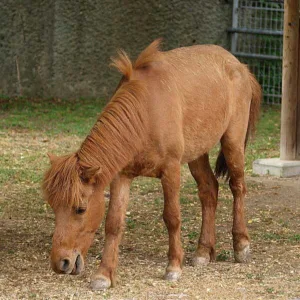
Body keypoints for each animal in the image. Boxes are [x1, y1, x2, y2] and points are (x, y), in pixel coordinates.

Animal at [42, 39, 260, 290]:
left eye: (80, 209)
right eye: (53, 207)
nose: (61, 263)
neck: (145, 112)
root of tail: (239, 65)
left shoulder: (171, 170)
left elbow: (172, 217)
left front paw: (173, 267)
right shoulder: (122, 176)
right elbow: (113, 223)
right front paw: (104, 275)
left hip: (232, 142)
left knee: (237, 187)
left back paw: (241, 246)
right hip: (197, 153)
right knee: (209, 190)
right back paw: (203, 251)